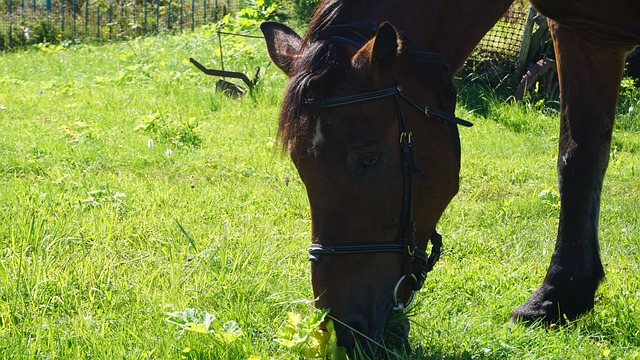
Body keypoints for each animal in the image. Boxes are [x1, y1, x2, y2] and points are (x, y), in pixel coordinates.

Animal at [260, 0, 640, 354]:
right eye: (299, 164)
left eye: (368, 159)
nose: (341, 329)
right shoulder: (586, 34)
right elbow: (578, 159)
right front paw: (557, 298)